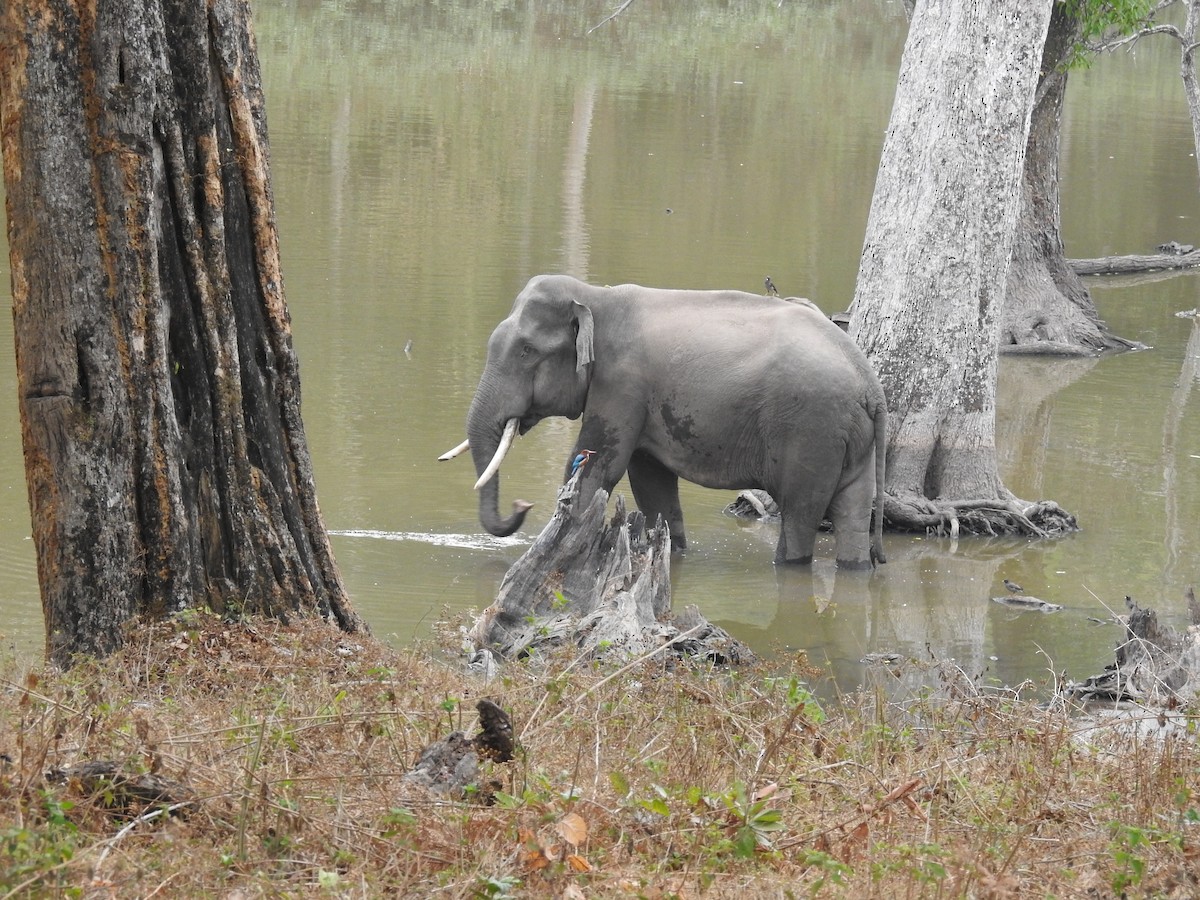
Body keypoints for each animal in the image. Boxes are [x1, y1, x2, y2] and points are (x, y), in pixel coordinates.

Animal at [453, 274, 888, 571]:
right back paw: (856, 568)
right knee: (853, 513)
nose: (522, 504)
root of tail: (871, 385)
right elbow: (651, 481)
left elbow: (598, 467)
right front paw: (670, 551)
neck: (596, 295)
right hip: (851, 441)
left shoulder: (621, 385)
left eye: (526, 351)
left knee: (800, 513)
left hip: (810, 432)